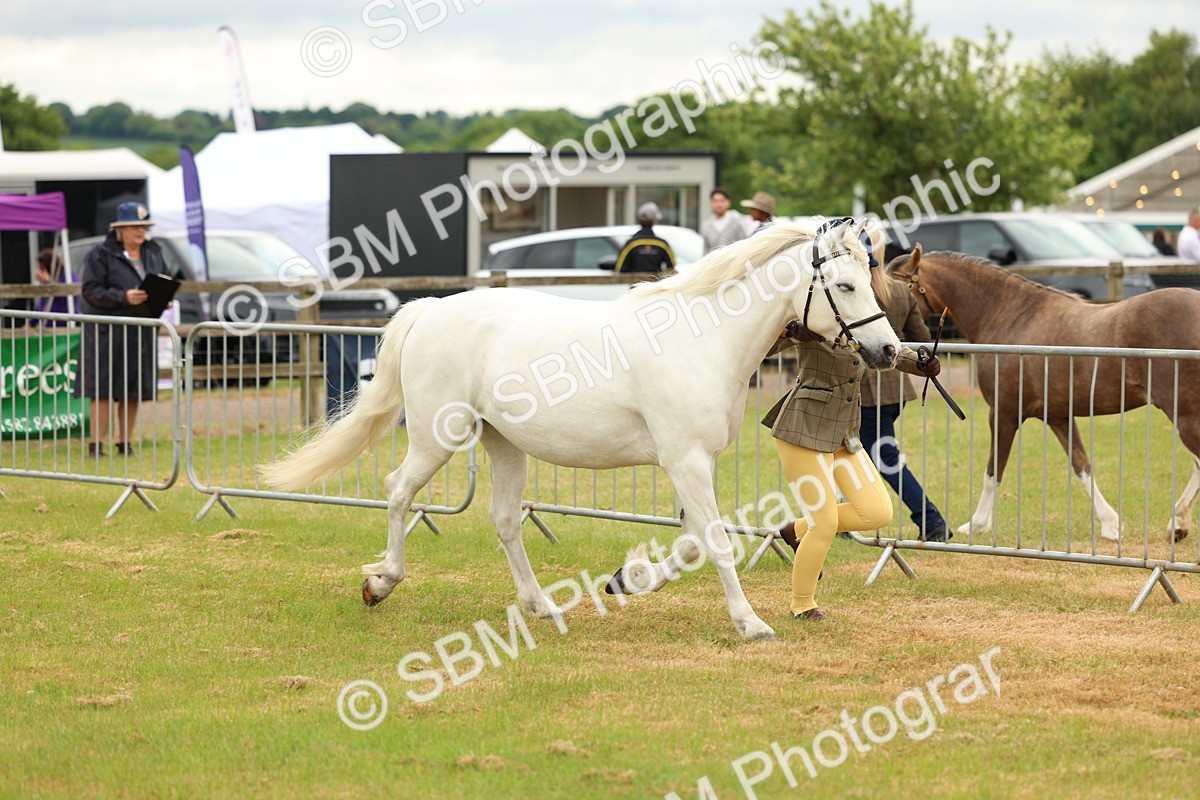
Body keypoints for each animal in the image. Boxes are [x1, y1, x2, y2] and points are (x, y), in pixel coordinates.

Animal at [260, 220, 901, 641]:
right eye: (846, 286)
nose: (889, 351)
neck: (702, 339)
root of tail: (430, 310)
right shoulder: (687, 461)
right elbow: (717, 541)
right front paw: (751, 623)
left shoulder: (693, 463)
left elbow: (694, 542)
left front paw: (630, 579)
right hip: (438, 437)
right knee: (398, 491)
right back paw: (381, 584)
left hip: (503, 444)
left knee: (503, 520)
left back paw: (542, 606)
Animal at [886, 245, 1200, 543]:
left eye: (895, 288)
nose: (888, 344)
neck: (1009, 316)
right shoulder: (1058, 416)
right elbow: (1082, 467)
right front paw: (1111, 525)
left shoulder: (1004, 413)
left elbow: (993, 472)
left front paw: (976, 524)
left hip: (1183, 415)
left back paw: (1178, 522)